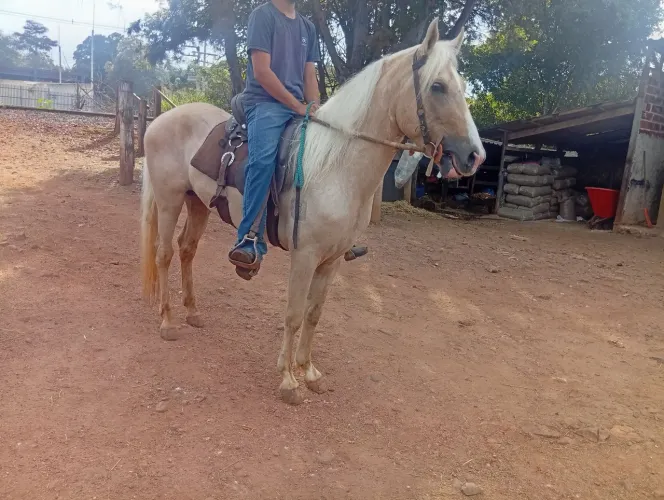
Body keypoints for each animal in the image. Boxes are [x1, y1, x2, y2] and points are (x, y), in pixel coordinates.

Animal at [139, 19, 486, 405]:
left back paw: (193, 312)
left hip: (197, 203)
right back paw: (168, 322)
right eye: (437, 86)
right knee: (165, 254)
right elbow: (292, 314)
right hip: (169, 200)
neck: (336, 168)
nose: (475, 156)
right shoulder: (304, 256)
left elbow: (314, 313)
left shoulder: (331, 260)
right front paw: (288, 381)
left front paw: (309, 372)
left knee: (187, 250)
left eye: (463, 86)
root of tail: (162, 118)